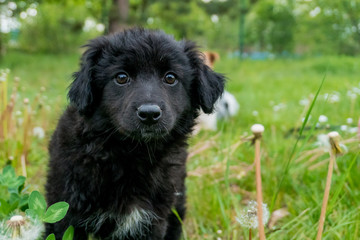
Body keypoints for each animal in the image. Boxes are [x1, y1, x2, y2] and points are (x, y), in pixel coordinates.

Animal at [45, 28, 225, 240]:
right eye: (121, 77)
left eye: (170, 78)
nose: (149, 114)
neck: (132, 154)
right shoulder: (66, 214)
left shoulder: (154, 220)